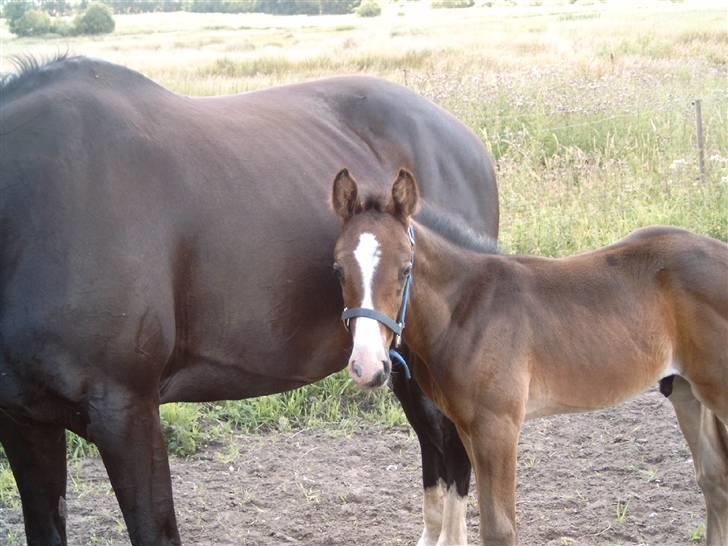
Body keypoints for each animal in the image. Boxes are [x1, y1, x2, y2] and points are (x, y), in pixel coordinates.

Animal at [332, 169, 728, 544]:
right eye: (338, 269)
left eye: (406, 269)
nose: (367, 366)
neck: (467, 309)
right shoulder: (467, 426)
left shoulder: (498, 426)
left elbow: (499, 529)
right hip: (686, 390)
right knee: (715, 480)